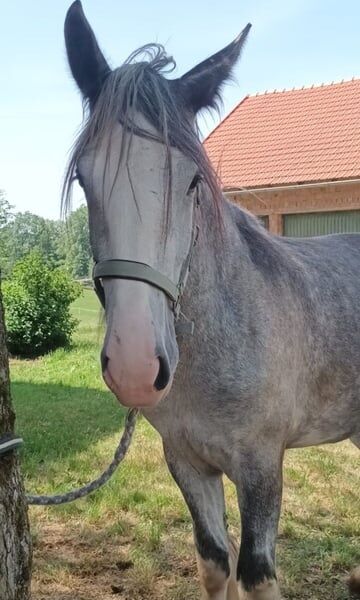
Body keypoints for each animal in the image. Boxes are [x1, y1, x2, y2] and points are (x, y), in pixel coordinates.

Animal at [62, 2, 360, 596]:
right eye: (85, 179)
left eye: (193, 182)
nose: (134, 366)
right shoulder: (187, 461)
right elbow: (214, 561)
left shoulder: (262, 466)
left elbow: (256, 574)